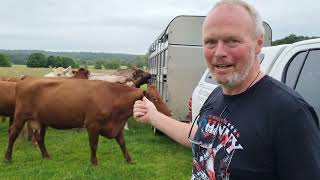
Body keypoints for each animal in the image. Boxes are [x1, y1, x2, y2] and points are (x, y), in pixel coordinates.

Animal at [3, 78, 171, 165]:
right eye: (155, 99)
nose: (170, 113)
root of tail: (25, 79)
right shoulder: (92, 125)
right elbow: (94, 145)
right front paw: (94, 162)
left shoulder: (116, 126)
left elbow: (122, 143)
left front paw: (129, 159)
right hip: (20, 116)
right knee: (12, 134)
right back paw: (7, 158)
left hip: (41, 120)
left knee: (40, 138)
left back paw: (46, 156)